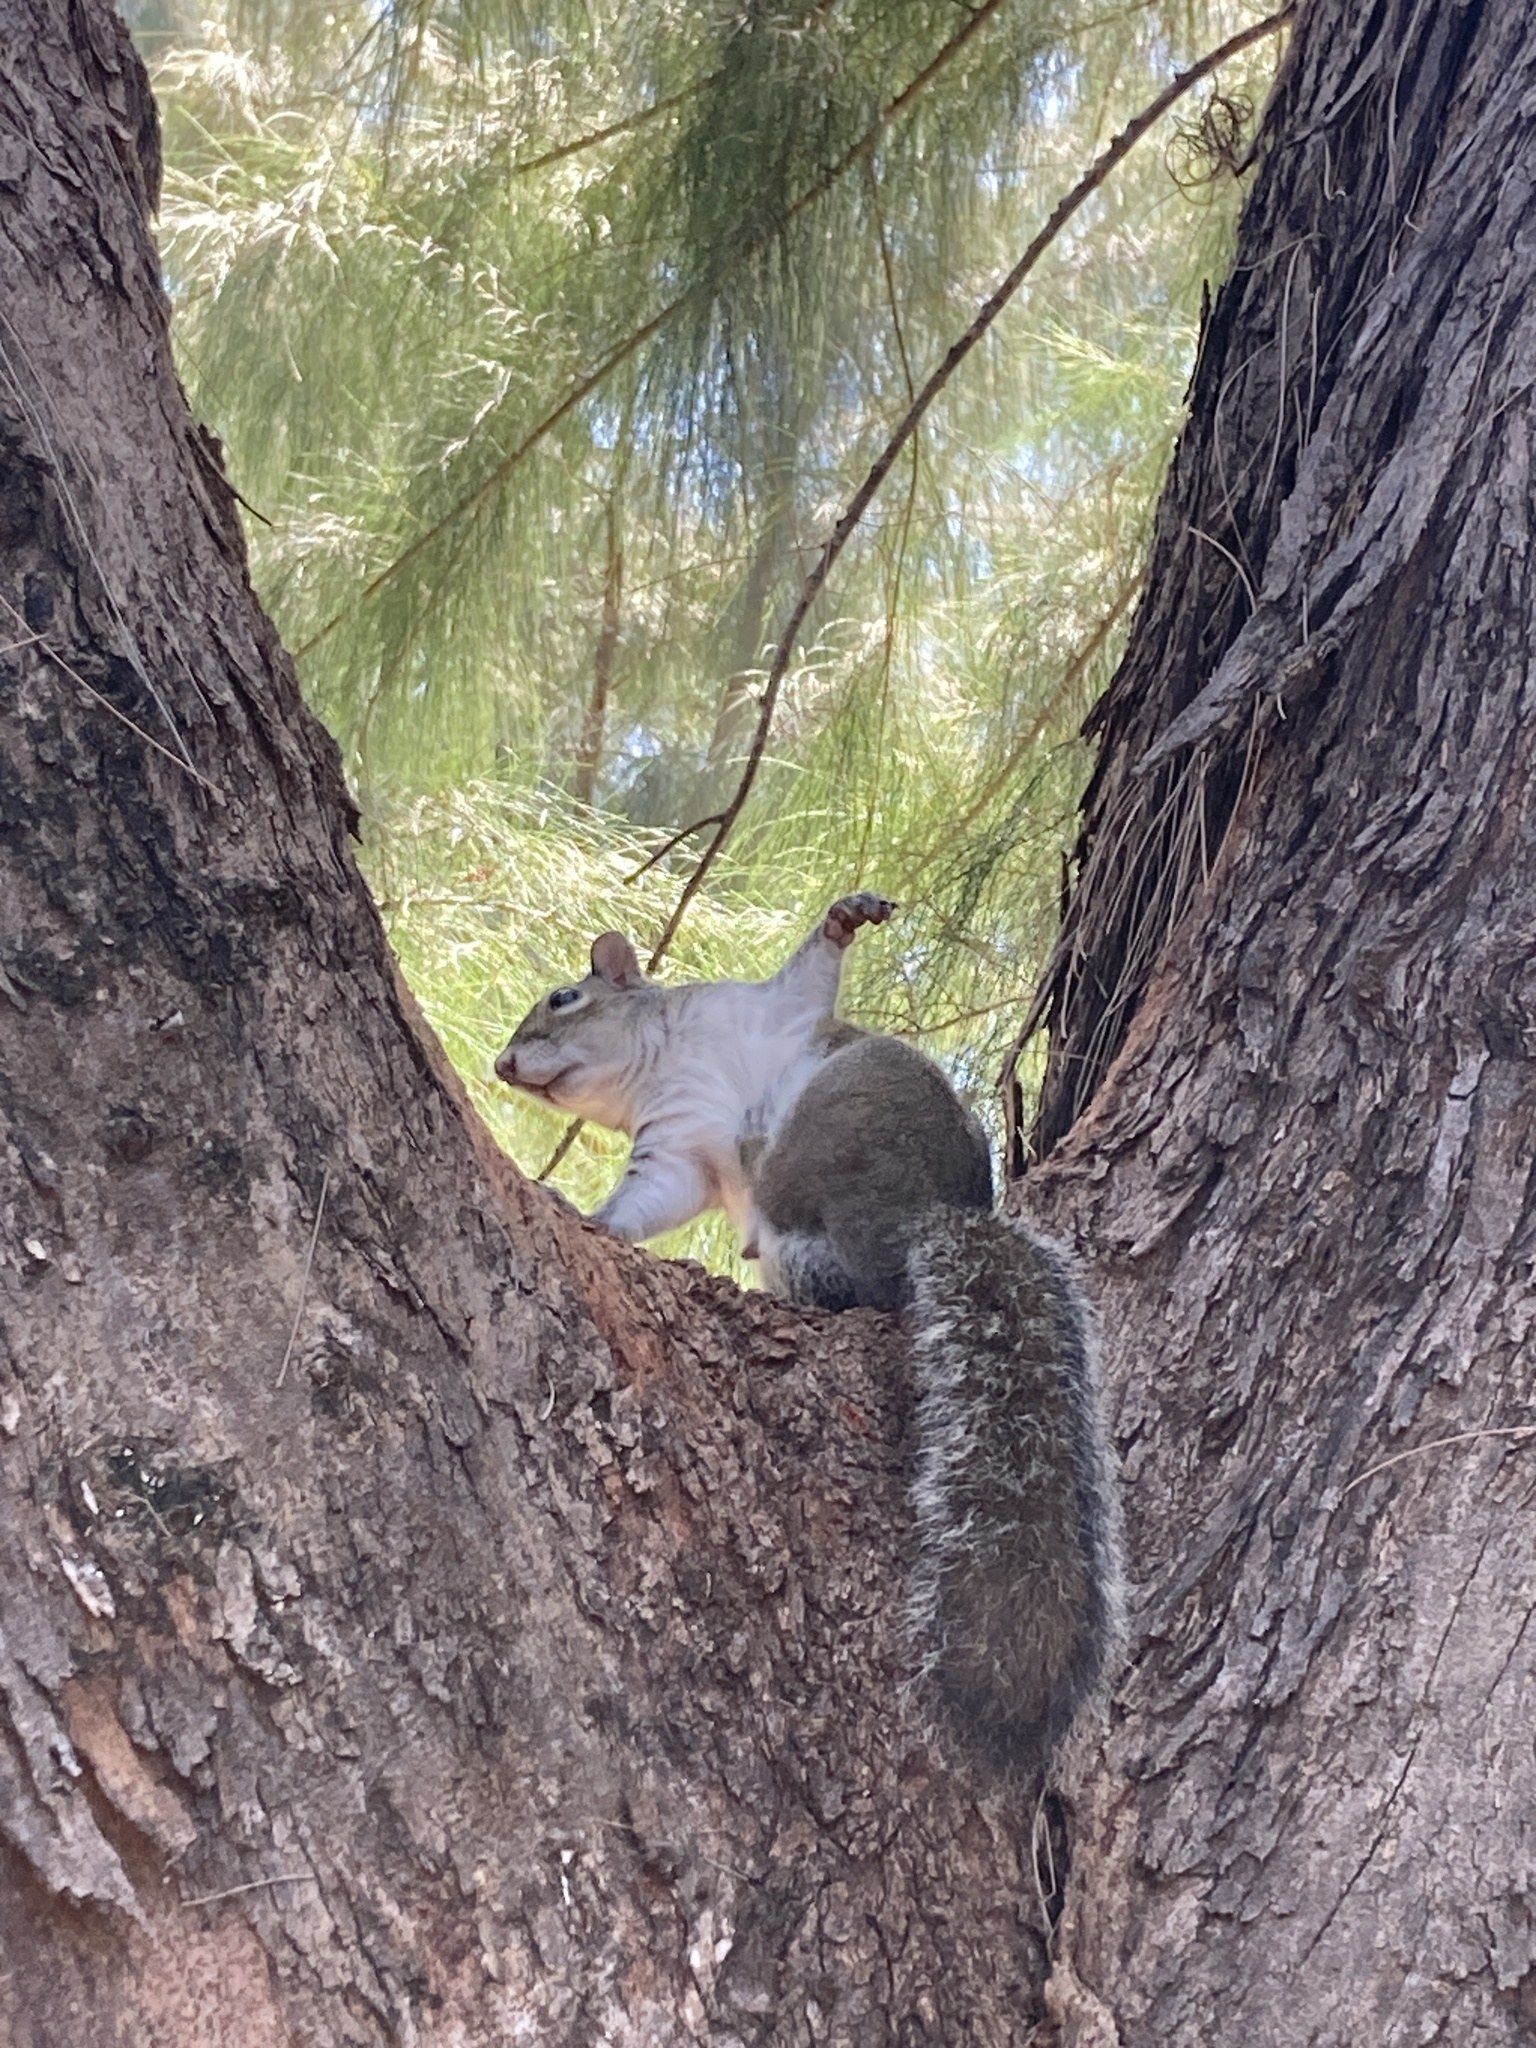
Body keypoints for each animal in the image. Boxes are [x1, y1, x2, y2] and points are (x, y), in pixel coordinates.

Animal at [495, 892, 1122, 1771]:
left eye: (562, 998)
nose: (502, 1067)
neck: (663, 1065)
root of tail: (921, 1222)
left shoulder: (761, 1010)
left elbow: (808, 976)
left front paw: (846, 918)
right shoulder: (674, 1150)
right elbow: (644, 1203)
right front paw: (591, 1217)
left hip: (847, 1101)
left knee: (794, 1174)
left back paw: (761, 1147)